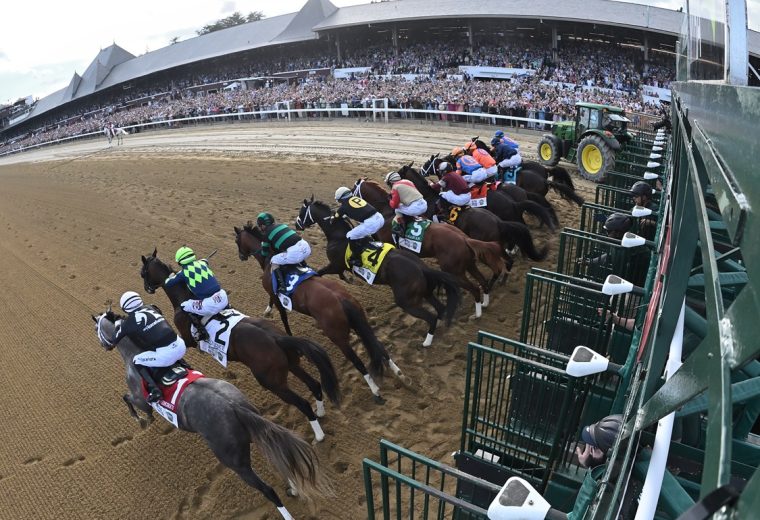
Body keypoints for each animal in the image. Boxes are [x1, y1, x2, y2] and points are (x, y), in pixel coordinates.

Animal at [92, 308, 330, 516]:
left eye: (96, 329)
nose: (104, 346)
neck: (134, 354)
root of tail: (234, 406)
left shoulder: (141, 399)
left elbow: (128, 400)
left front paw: (142, 420)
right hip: (255, 433)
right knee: (278, 459)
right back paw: (293, 486)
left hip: (234, 460)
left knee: (268, 490)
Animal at [140, 250, 342, 440]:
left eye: (143, 273)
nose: (147, 289)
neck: (182, 298)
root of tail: (277, 338)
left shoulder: (187, 339)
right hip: (291, 365)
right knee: (315, 385)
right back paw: (321, 411)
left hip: (272, 382)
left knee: (302, 403)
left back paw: (319, 435)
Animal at [235, 223, 410, 402]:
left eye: (237, 240)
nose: (241, 256)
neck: (269, 260)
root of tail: (341, 299)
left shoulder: (276, 296)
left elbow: (282, 317)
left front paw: (273, 317)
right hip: (361, 322)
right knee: (377, 345)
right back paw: (399, 374)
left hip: (338, 337)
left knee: (357, 362)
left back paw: (375, 391)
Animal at [352, 179, 510, 316]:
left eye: (353, 189)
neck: (386, 212)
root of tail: (464, 239)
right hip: (469, 264)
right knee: (483, 282)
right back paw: (485, 303)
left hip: (455, 271)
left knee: (475, 288)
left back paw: (476, 314)